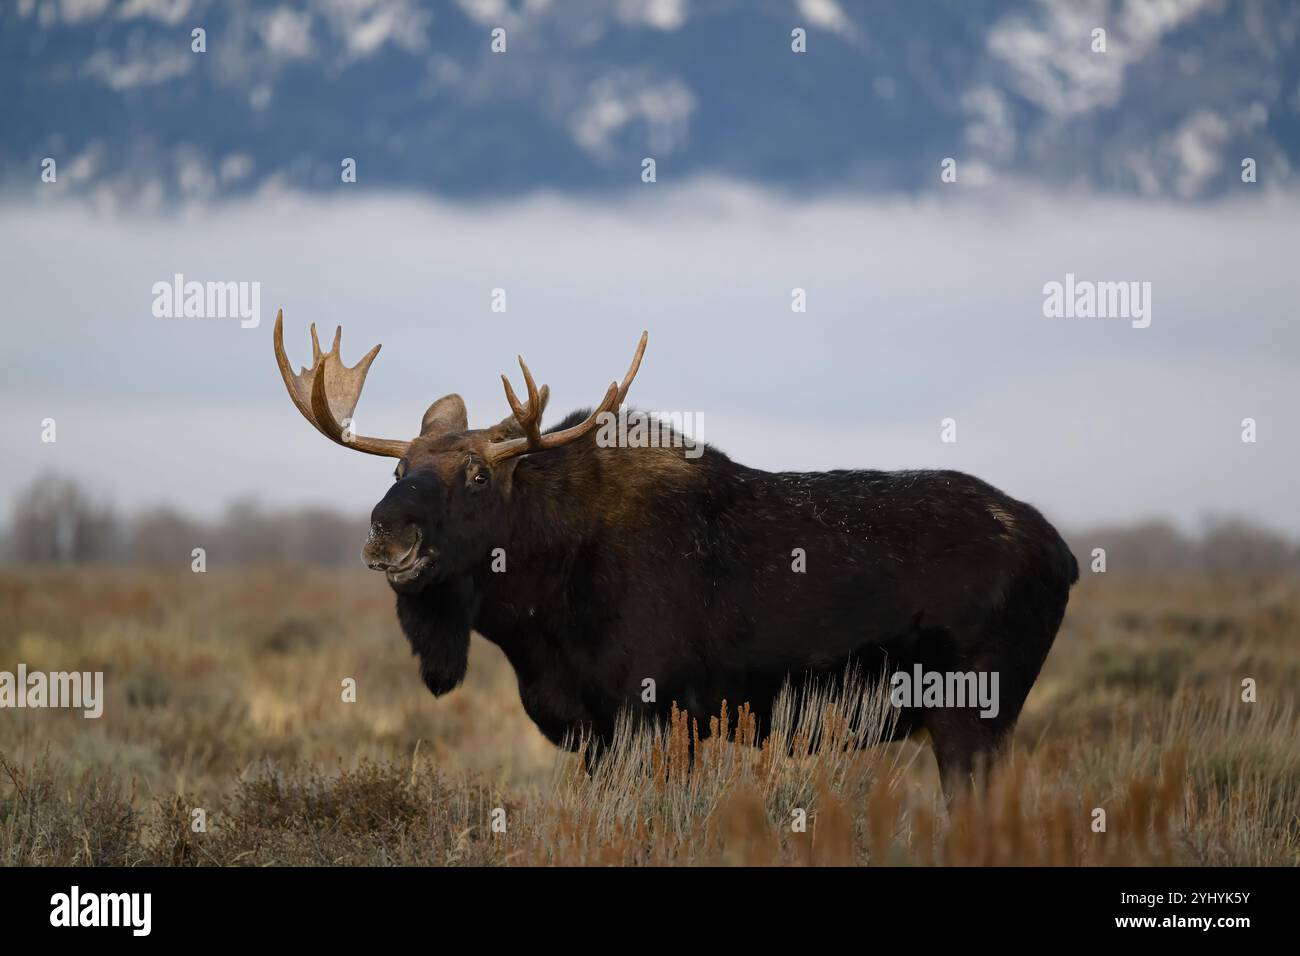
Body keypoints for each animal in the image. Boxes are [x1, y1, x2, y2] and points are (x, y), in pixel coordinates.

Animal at [271, 310, 1076, 796]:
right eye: (396, 472)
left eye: (475, 475)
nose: (388, 533)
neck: (536, 610)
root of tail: (1063, 555)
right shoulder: (597, 733)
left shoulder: (656, 716)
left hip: (976, 713)